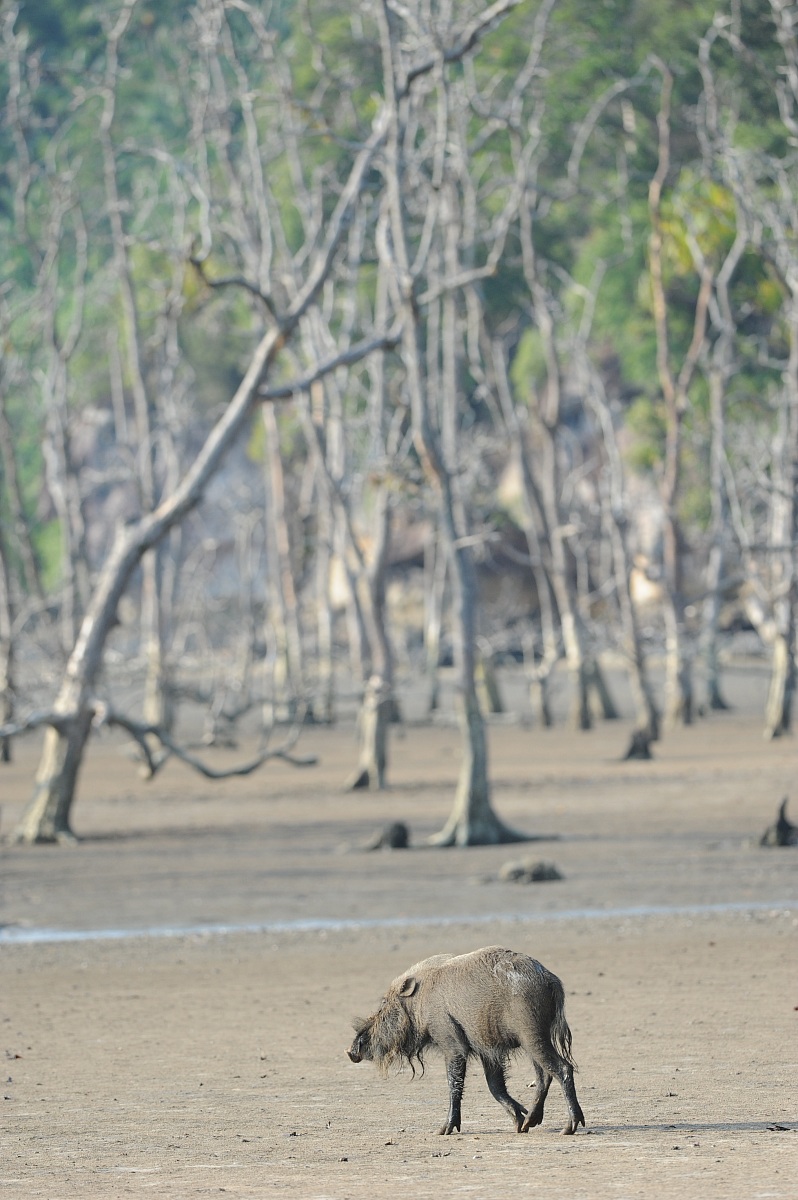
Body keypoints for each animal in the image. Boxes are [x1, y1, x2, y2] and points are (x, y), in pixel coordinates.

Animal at [347, 946, 585, 1136]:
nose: (351, 1051)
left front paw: (442, 1131)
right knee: (544, 1075)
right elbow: (495, 1085)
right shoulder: (488, 1050)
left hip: (532, 1034)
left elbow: (454, 1083)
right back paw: (528, 1123)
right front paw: (518, 1122)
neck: (421, 1001)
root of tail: (551, 980)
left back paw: (568, 1128)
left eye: (383, 1004)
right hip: (534, 1039)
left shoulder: (451, 1042)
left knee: (563, 1068)